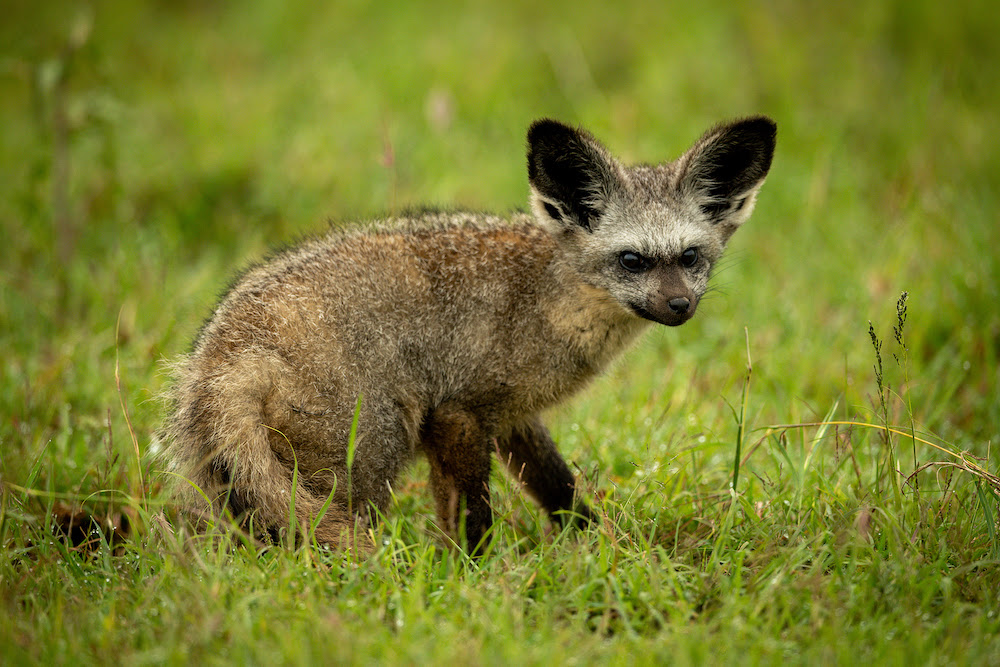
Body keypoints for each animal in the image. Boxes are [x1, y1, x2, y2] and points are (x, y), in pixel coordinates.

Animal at [163, 116, 776, 554]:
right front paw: (473, 580)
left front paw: (593, 542)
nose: (680, 306)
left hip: (247, 481)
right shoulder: (456, 414)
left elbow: (558, 486)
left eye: (690, 257)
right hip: (368, 461)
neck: (546, 299)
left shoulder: (508, 414)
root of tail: (223, 357)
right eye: (632, 261)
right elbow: (474, 519)